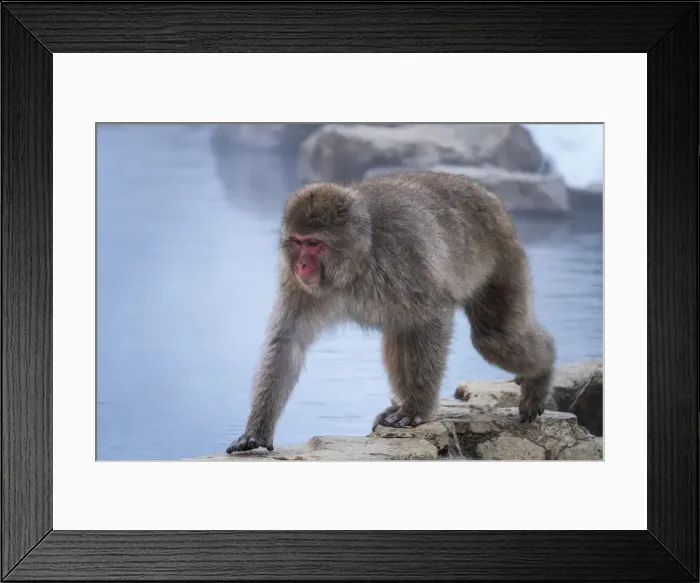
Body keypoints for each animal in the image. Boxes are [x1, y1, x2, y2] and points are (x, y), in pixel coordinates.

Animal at [226, 171, 556, 453]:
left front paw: (417, 411)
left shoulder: (404, 250)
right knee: (400, 336)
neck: (357, 261)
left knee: (493, 338)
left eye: (314, 243)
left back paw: (542, 371)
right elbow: (288, 342)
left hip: (502, 257)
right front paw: (256, 432)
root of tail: (489, 196)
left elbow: (433, 315)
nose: (301, 265)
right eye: (297, 242)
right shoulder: (296, 284)